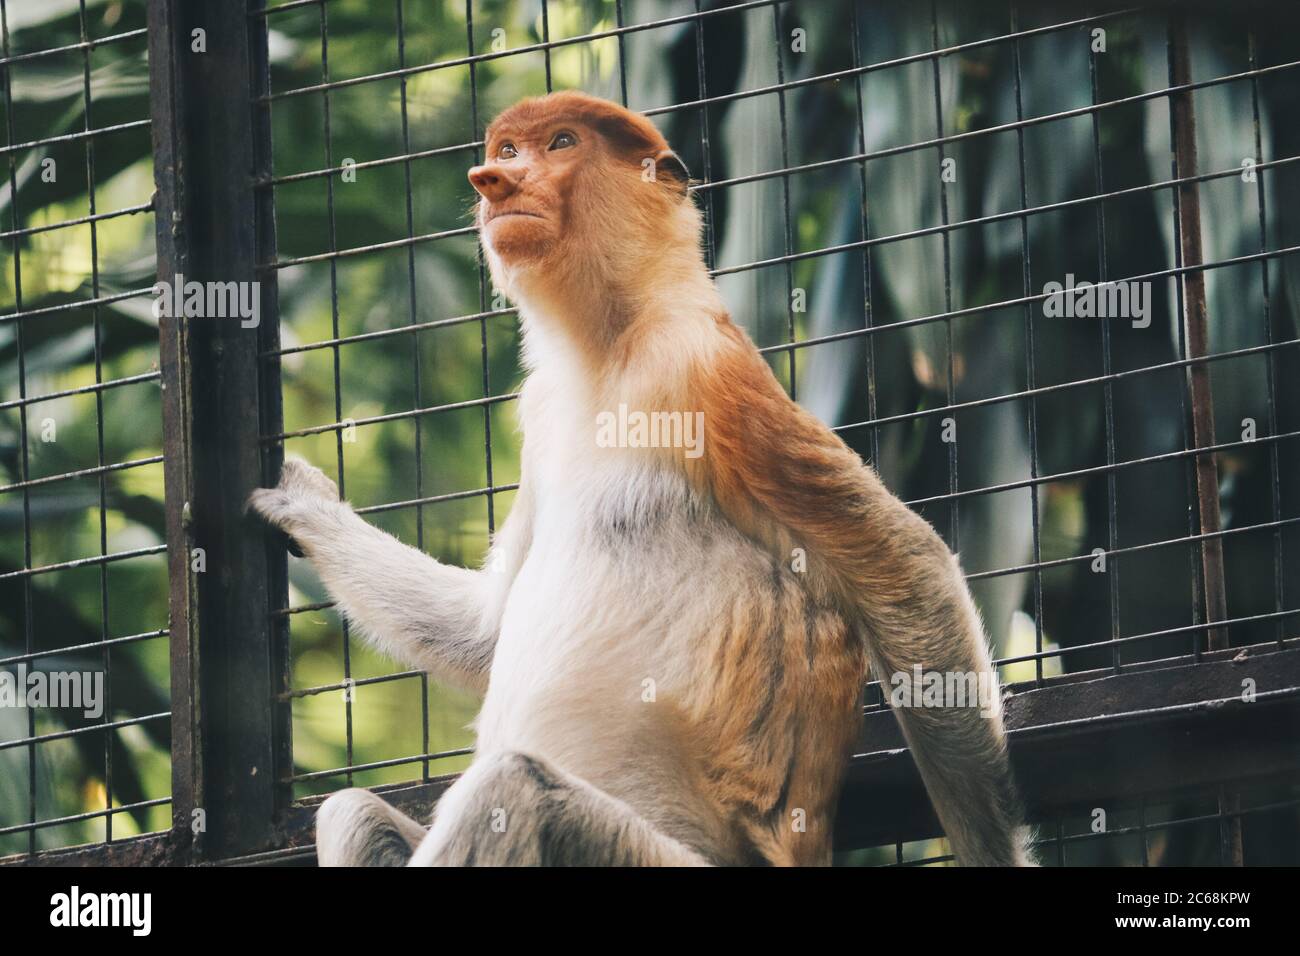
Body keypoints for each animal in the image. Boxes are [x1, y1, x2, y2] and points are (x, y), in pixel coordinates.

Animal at [248, 91, 1034, 867]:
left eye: (561, 143)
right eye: (507, 151)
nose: (492, 181)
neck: (606, 347)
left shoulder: (696, 367)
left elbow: (902, 562)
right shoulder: (543, 410)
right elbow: (485, 629)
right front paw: (304, 503)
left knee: (512, 789)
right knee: (354, 812)